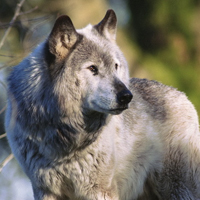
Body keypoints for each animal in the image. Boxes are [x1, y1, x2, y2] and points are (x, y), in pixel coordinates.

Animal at [4, 8, 200, 199]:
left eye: (115, 66)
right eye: (92, 68)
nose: (127, 96)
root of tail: (182, 95)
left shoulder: (99, 190)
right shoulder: (45, 190)